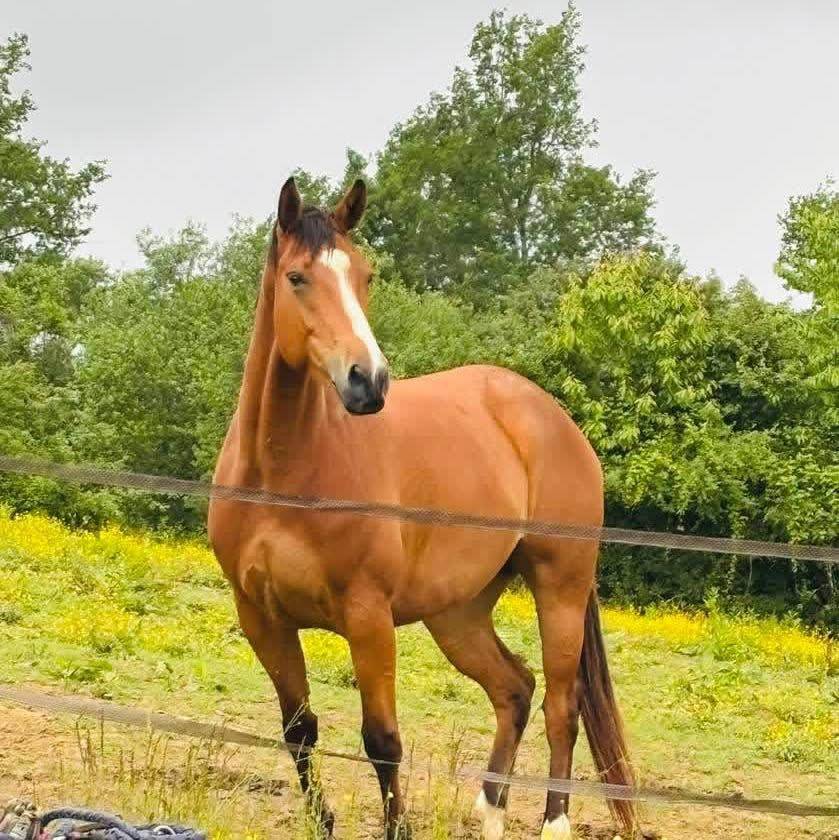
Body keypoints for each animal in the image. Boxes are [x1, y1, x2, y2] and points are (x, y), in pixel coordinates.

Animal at [207, 177, 637, 840]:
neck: (282, 476)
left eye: (365, 275)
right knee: (515, 689)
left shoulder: (368, 617)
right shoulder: (261, 616)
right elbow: (299, 731)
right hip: (458, 612)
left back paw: (554, 823)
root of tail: (550, 416)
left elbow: (382, 740)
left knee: (561, 707)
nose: (368, 381)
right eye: (298, 277)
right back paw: (490, 811)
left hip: (559, 587)